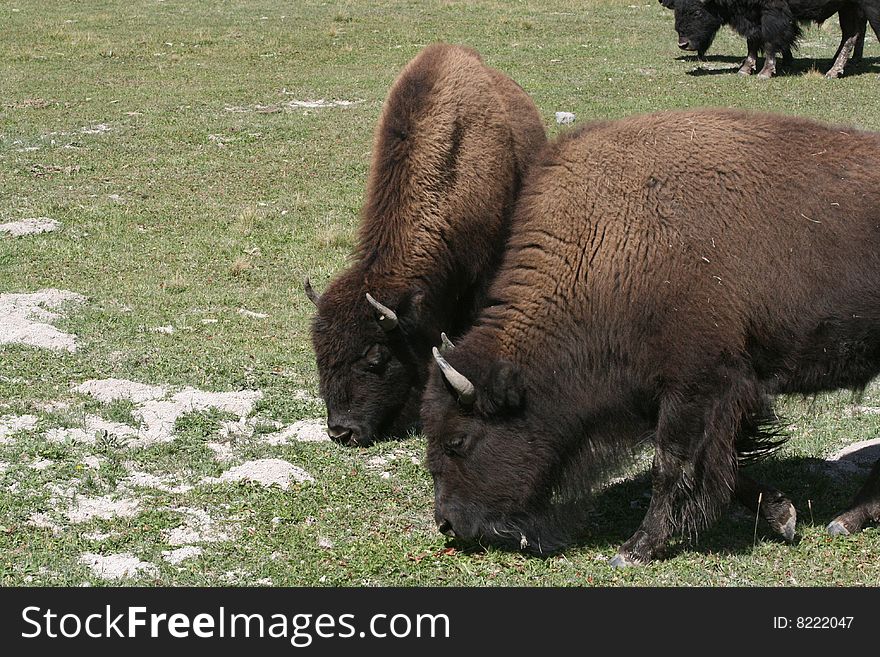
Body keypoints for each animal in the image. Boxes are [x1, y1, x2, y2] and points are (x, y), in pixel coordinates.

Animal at [420, 107, 880, 564]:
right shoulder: (698, 394)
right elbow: (726, 467)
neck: (602, 247)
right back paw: (847, 518)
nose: (447, 522)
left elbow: (669, 466)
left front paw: (636, 547)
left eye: (458, 440)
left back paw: (847, 519)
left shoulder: (696, 385)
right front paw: (783, 516)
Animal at [664, 0, 876, 78]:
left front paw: (765, 72)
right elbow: (752, 41)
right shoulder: (752, 17)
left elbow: (769, 42)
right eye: (677, 9)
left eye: (697, 11)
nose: (683, 44)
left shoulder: (772, 14)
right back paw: (834, 69)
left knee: (854, 33)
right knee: (852, 34)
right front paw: (745, 69)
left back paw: (835, 69)